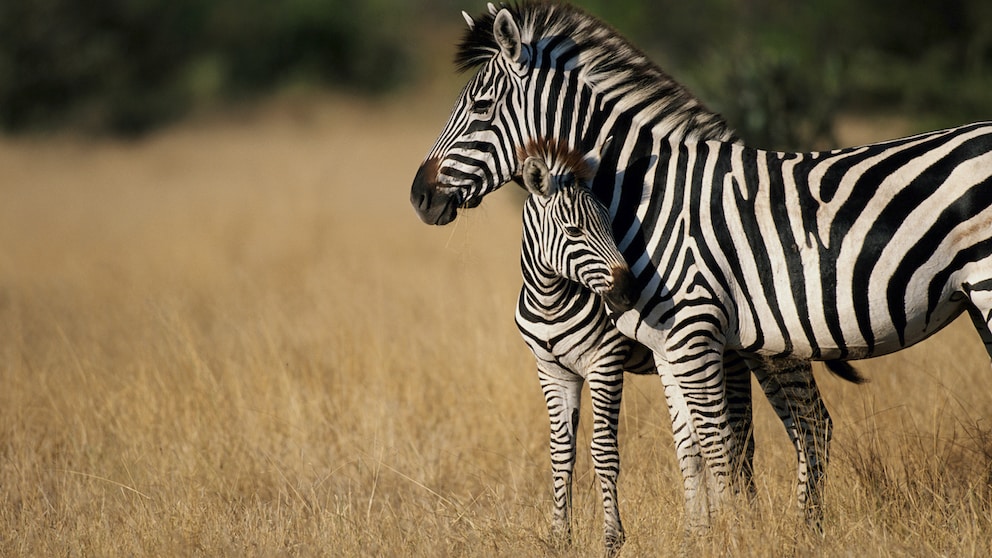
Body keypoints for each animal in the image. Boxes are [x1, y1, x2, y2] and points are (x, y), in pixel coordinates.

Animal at [406, 3, 856, 528]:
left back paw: (805, 526)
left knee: (810, 425)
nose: (419, 196)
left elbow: (607, 450)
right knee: (755, 435)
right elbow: (567, 453)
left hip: (776, 343)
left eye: (480, 107)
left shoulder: (609, 356)